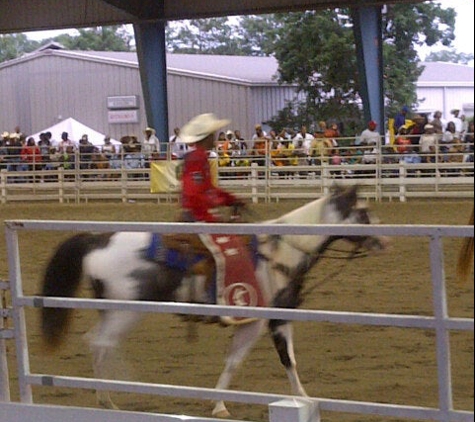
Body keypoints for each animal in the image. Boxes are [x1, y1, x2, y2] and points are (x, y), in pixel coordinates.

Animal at [40, 186, 386, 418]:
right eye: (363, 211)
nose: (383, 240)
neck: (280, 251)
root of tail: (97, 239)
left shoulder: (265, 319)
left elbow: (246, 361)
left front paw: (221, 405)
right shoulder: (265, 320)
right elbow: (275, 360)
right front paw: (299, 399)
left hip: (110, 311)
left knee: (95, 342)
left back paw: (107, 397)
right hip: (125, 312)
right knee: (102, 344)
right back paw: (114, 395)